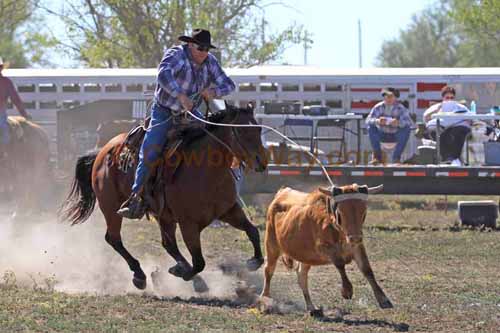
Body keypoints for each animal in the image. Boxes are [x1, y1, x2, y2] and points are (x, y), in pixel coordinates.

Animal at [61, 105, 270, 290]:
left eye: (259, 129)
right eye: (241, 130)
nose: (261, 161)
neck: (206, 171)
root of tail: (102, 151)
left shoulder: (229, 210)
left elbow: (252, 231)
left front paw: (253, 262)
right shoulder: (188, 224)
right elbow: (199, 261)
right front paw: (182, 273)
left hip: (163, 216)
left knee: (168, 245)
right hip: (111, 207)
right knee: (114, 239)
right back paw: (140, 275)